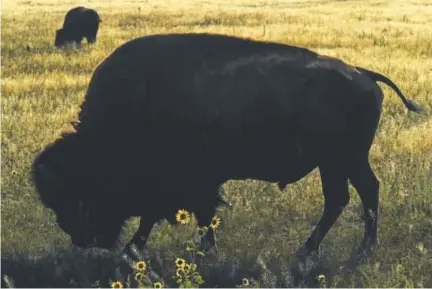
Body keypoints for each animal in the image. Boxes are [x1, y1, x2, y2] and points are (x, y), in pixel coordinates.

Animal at [32, 32, 420, 258]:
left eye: (81, 196)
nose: (85, 240)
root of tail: (363, 74)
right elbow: (181, 215)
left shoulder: (188, 181)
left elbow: (175, 214)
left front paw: (139, 249)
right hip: (343, 161)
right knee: (358, 193)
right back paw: (345, 249)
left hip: (340, 160)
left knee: (347, 197)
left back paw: (320, 251)